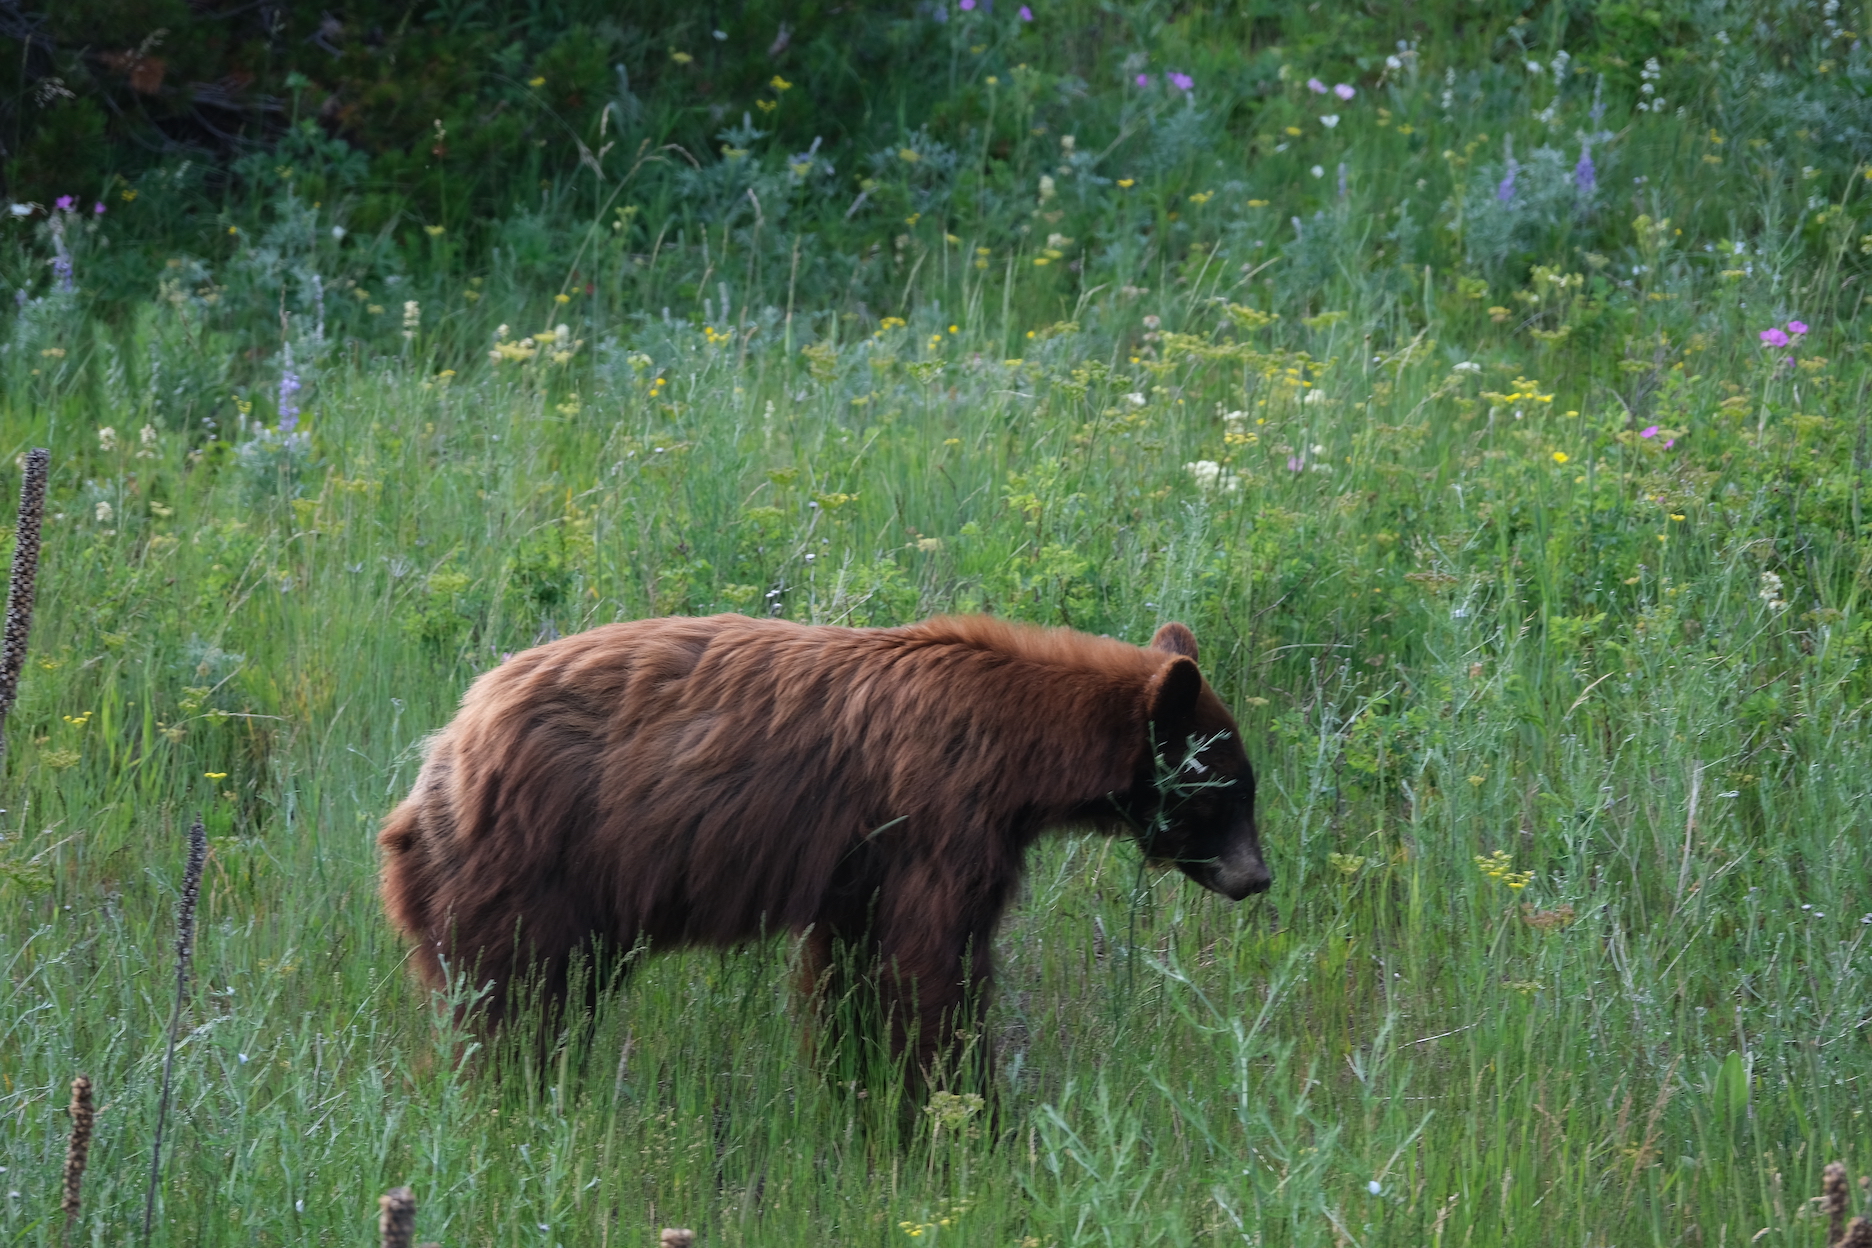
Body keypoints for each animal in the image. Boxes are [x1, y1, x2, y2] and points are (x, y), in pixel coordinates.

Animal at [378, 613, 1269, 1079]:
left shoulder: (861, 872)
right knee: (513, 998)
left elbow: (856, 973)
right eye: (1232, 790)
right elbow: (930, 967)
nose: (1257, 878)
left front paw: (862, 1086)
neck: (1016, 745)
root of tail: (443, 751)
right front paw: (952, 1107)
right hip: (533, 862)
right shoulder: (936, 820)